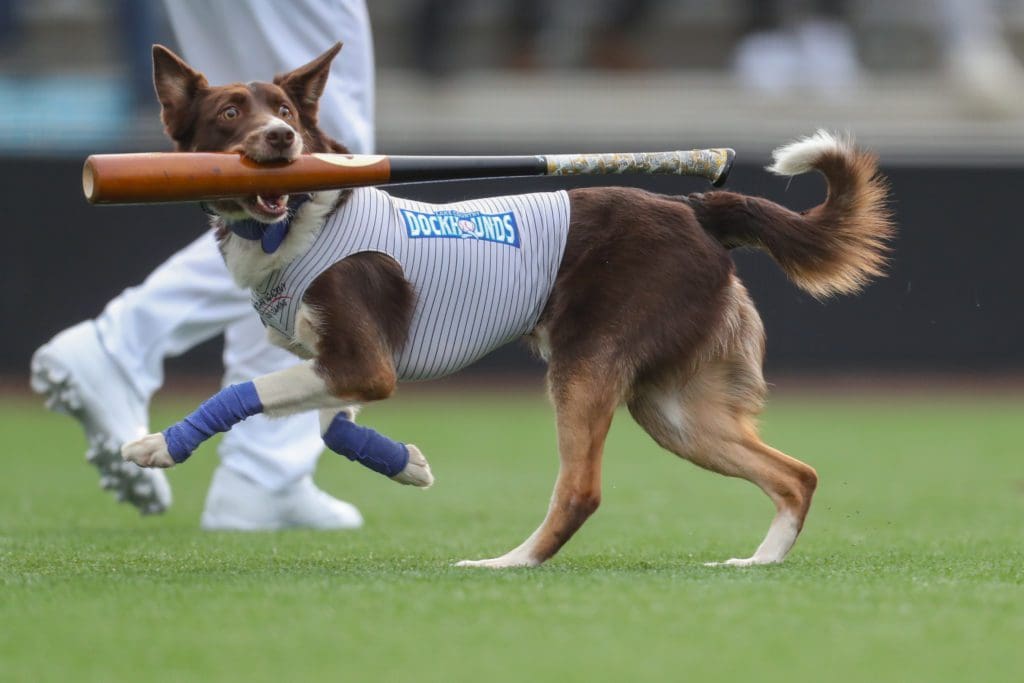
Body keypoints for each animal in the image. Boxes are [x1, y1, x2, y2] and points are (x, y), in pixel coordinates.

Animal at [121, 41, 897, 565]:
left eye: (283, 110)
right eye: (230, 112)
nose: (282, 138)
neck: (303, 214)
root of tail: (697, 211)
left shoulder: (363, 362)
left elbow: (250, 391)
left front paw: (159, 443)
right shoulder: (346, 365)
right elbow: (330, 426)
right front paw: (403, 461)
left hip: (586, 364)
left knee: (582, 489)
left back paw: (507, 563)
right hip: (675, 405)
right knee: (796, 474)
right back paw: (758, 562)